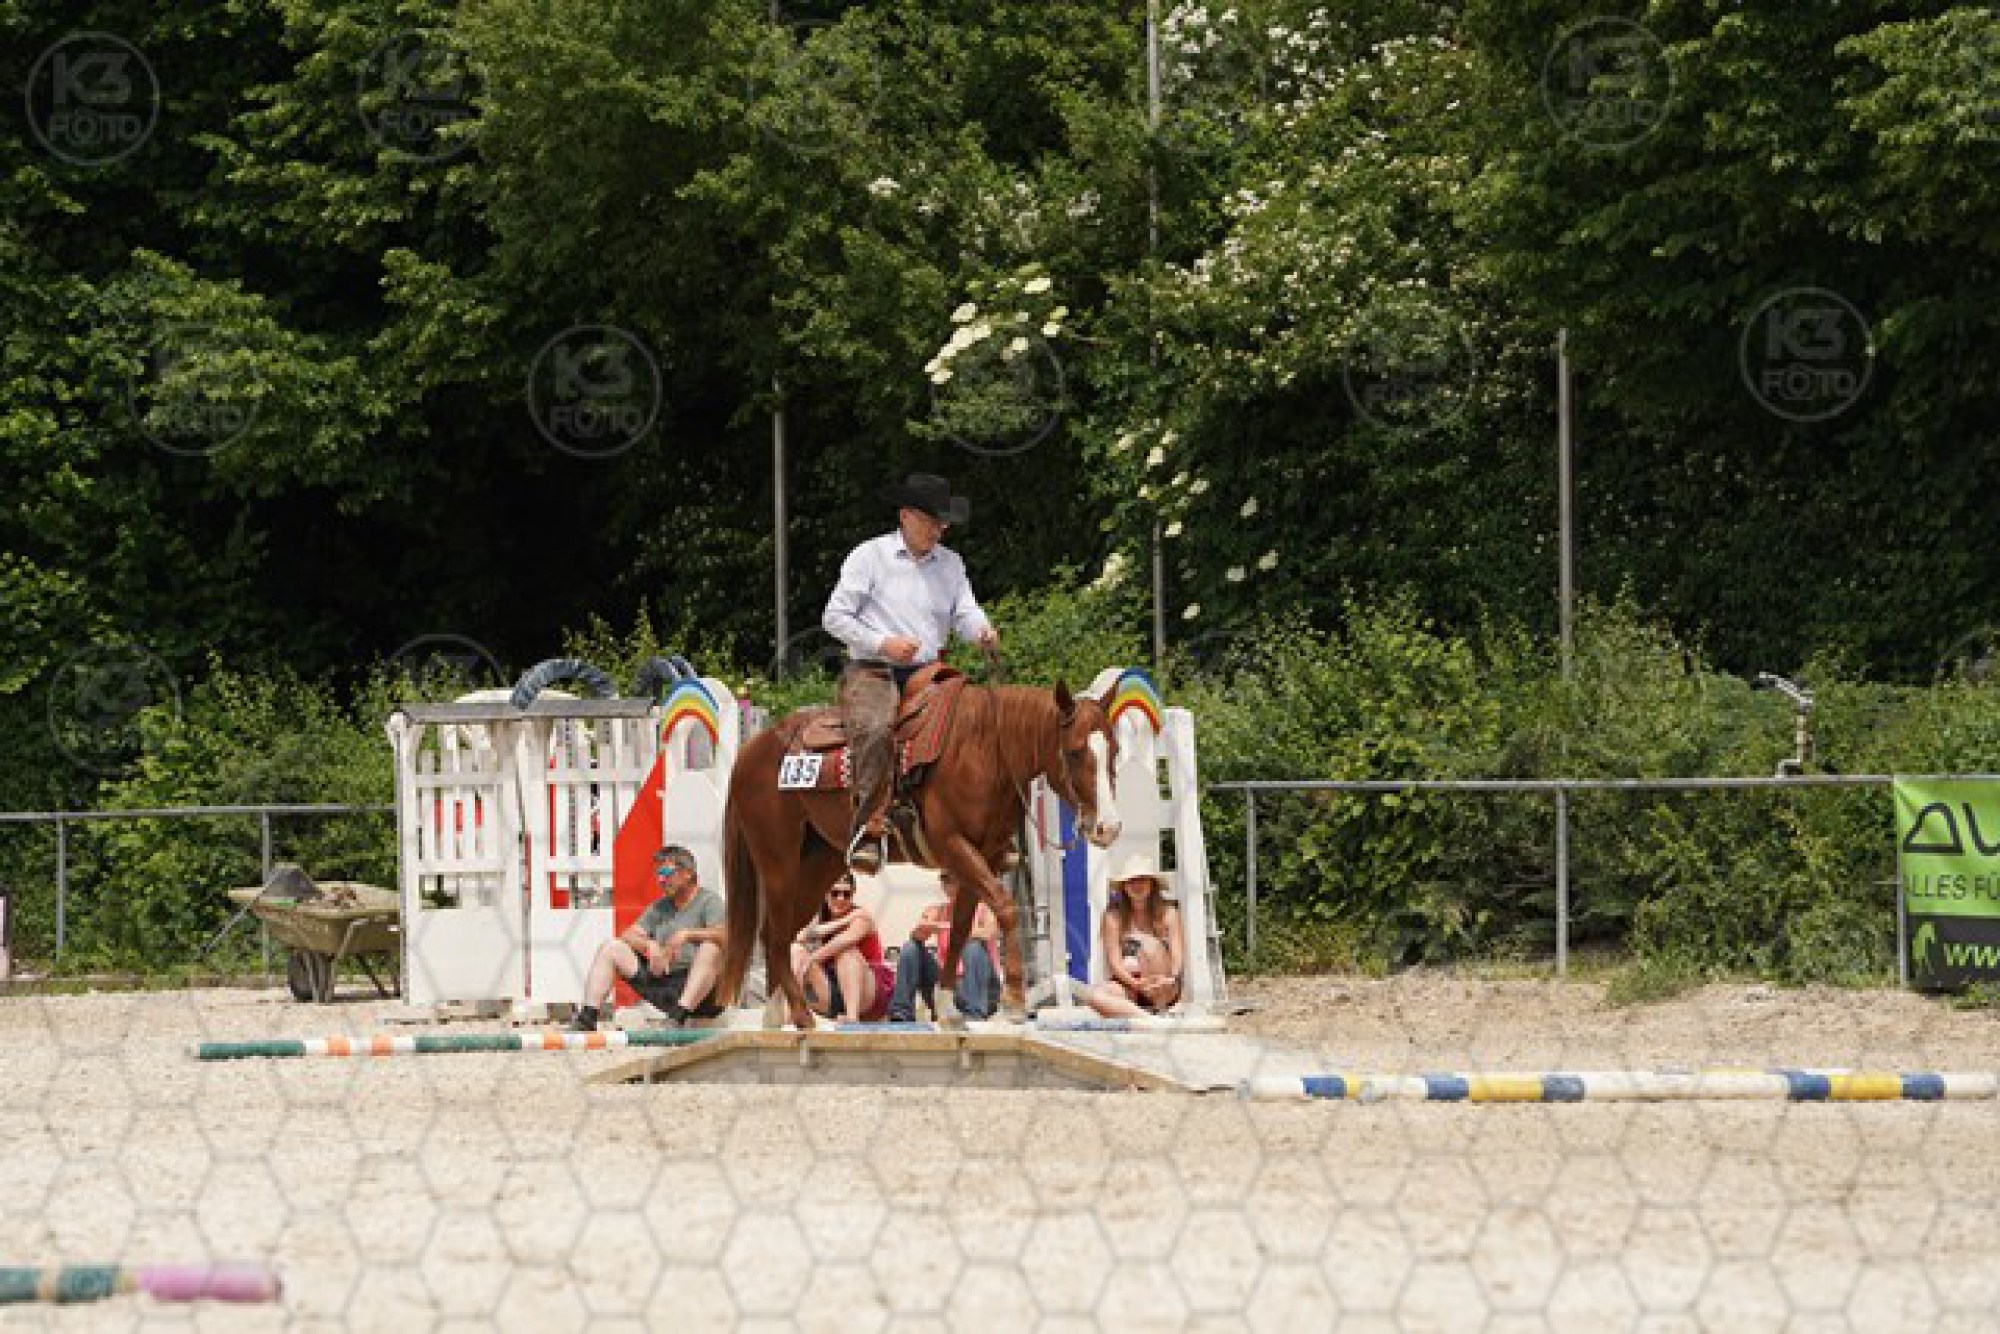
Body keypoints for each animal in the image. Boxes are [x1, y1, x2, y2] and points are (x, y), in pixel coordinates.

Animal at [718, 680, 1123, 1028]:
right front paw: (1014, 1003)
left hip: (819, 865)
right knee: (774, 933)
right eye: (1074, 752)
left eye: (1115, 751)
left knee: (778, 933)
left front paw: (947, 1009)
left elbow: (960, 929)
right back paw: (801, 1016)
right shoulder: (955, 846)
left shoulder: (980, 858)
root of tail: (750, 750)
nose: (1109, 827)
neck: (984, 750)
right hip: (778, 861)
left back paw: (778, 1015)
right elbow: (1006, 908)